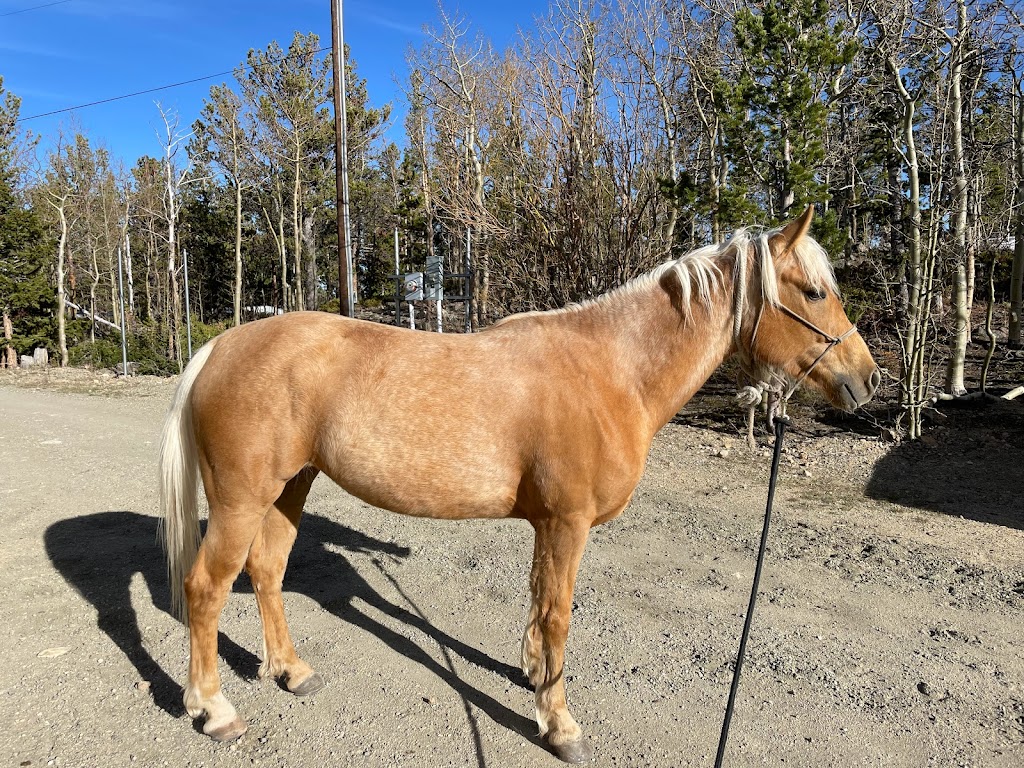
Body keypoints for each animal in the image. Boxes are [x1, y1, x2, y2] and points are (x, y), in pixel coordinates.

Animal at [159, 207, 880, 765]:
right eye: (814, 292)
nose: (868, 378)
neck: (610, 371)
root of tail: (220, 346)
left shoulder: (548, 525)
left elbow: (538, 607)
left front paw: (533, 676)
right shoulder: (566, 522)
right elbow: (559, 615)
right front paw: (560, 725)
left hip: (290, 488)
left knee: (267, 571)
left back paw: (291, 671)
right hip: (242, 500)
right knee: (206, 587)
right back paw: (214, 708)